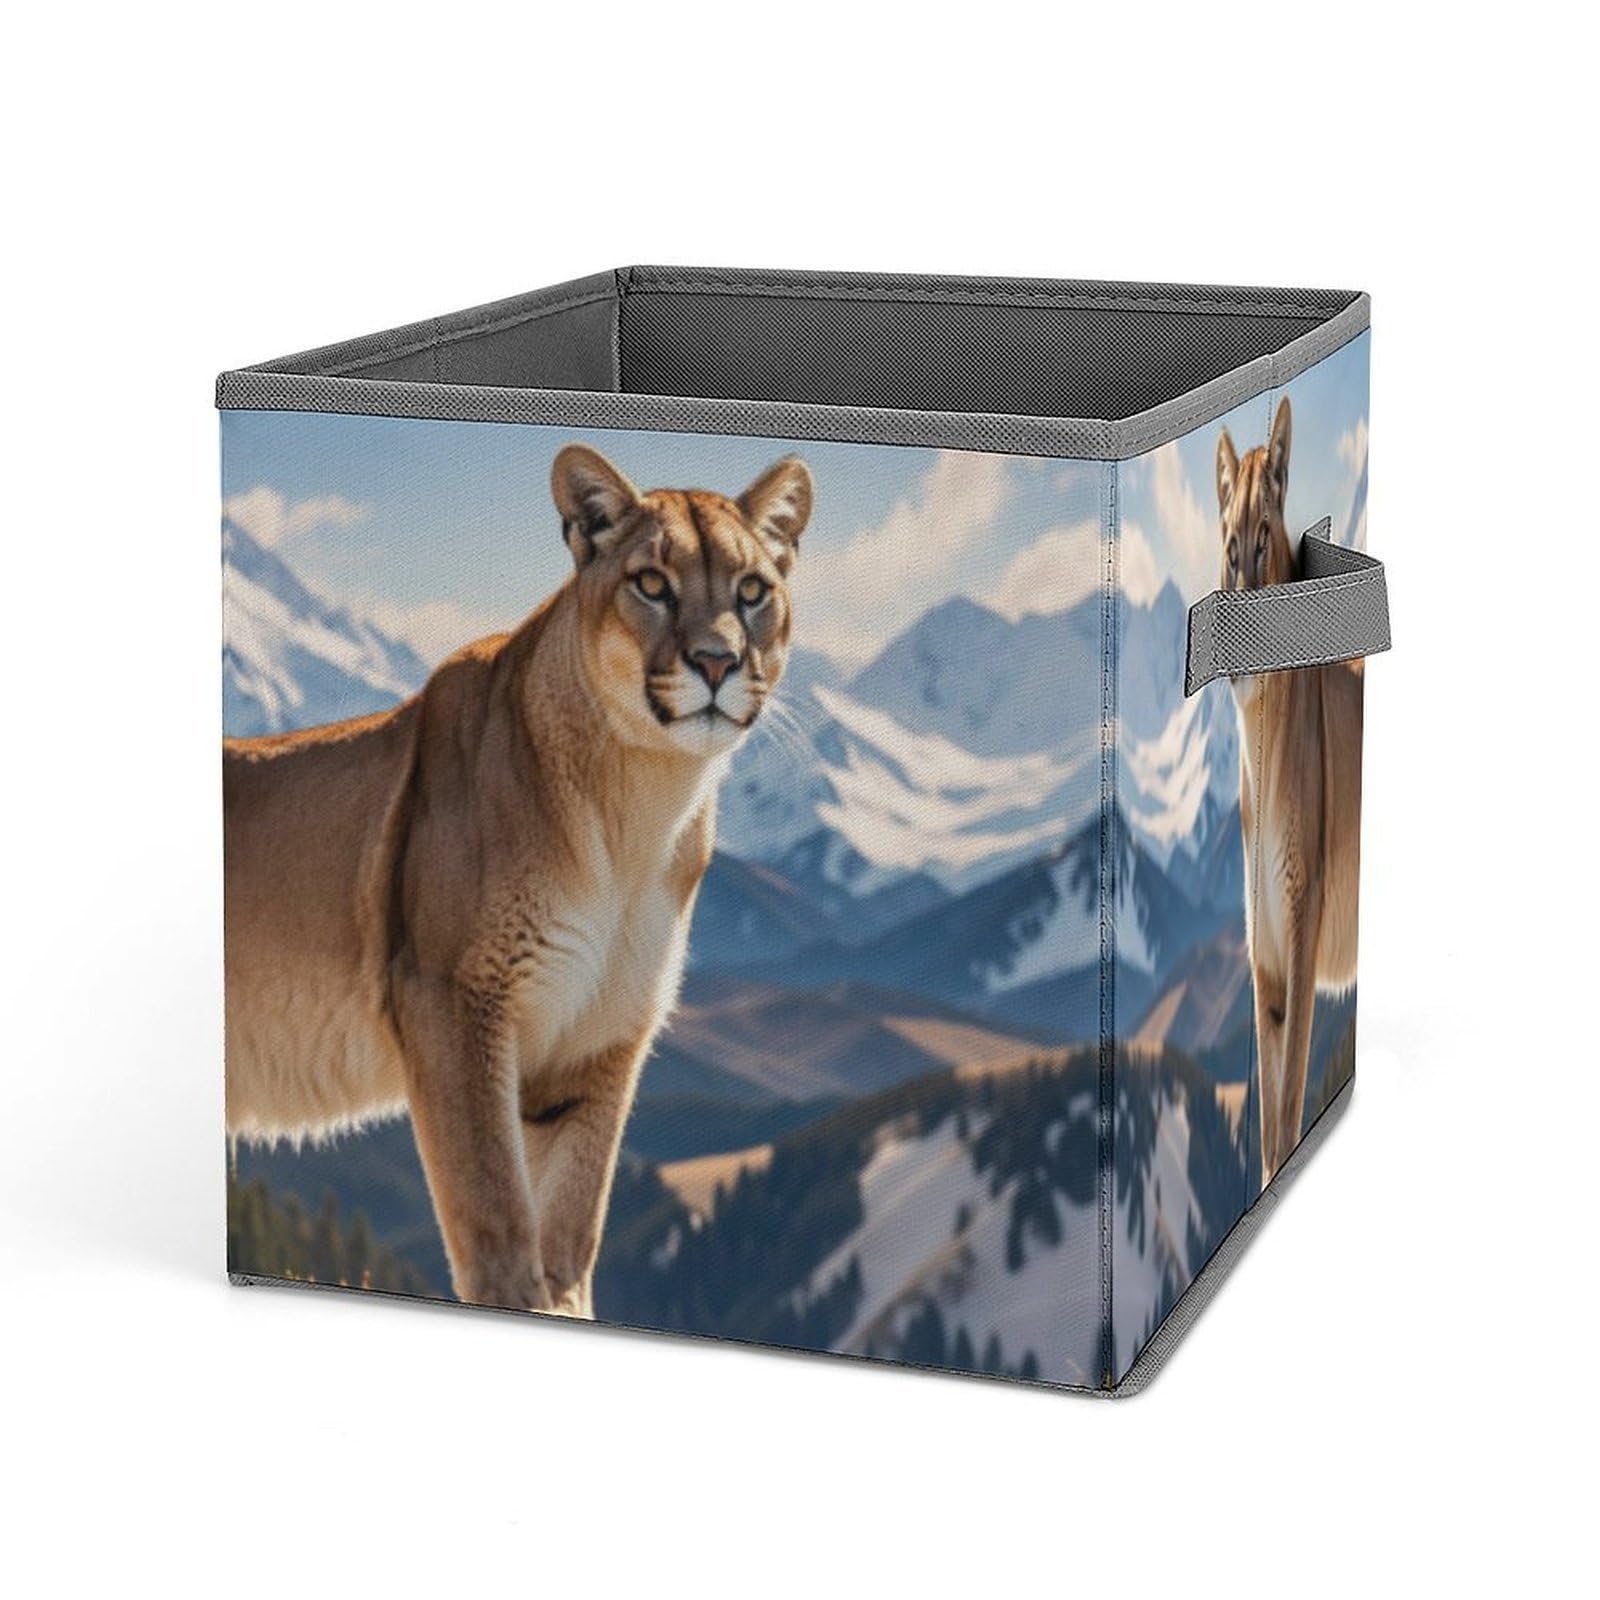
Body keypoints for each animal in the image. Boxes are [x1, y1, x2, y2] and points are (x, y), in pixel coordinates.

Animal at [223, 444, 812, 1315]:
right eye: (651, 582)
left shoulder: (598, 1038)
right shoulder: (451, 1000)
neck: (638, 808)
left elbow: (570, 1238)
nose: (717, 660)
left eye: (751, 590)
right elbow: (497, 1216)